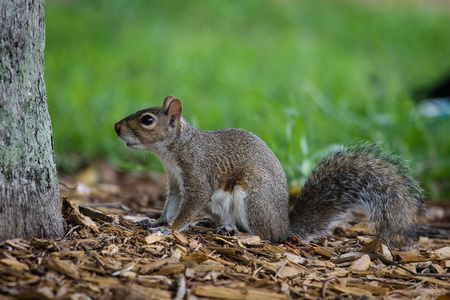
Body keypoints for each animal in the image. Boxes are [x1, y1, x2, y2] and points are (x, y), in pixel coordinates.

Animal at [114, 95, 428, 246]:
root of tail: (284, 225)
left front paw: (170, 230)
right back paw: (217, 225)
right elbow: (171, 206)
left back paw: (238, 233)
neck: (174, 149)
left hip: (252, 196)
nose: (116, 127)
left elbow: (189, 206)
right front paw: (155, 222)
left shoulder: (197, 173)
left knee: (265, 236)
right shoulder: (176, 183)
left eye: (147, 120)